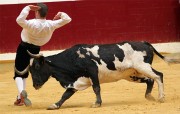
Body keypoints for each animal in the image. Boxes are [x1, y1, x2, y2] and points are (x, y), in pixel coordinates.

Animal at [15, 41, 173, 109]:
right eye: (30, 71)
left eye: (37, 67)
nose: (35, 85)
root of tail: (144, 43)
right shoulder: (74, 82)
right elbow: (66, 95)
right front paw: (55, 105)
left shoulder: (93, 72)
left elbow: (96, 88)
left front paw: (97, 103)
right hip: (132, 74)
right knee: (149, 80)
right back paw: (149, 97)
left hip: (143, 66)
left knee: (158, 76)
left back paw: (161, 97)